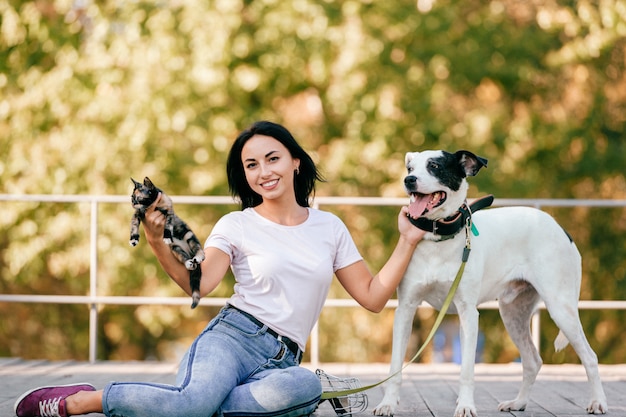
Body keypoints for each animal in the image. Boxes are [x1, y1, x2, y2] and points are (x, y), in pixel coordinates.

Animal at [129, 176, 205, 308]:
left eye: (137, 198)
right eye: (131, 197)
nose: (132, 202)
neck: (151, 205)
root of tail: (190, 254)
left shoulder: (169, 211)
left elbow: (168, 225)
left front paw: (167, 236)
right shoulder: (137, 213)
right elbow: (134, 225)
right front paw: (134, 239)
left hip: (189, 235)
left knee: (198, 249)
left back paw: (199, 257)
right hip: (175, 248)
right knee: (184, 257)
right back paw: (189, 263)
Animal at [370, 150, 604, 416]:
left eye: (434, 166)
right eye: (410, 168)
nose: (409, 180)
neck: (438, 237)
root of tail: (560, 228)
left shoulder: (468, 314)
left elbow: (467, 371)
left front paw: (465, 406)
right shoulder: (405, 310)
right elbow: (394, 368)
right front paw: (388, 404)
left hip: (560, 308)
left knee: (590, 357)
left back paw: (598, 402)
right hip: (513, 313)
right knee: (532, 361)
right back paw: (519, 402)